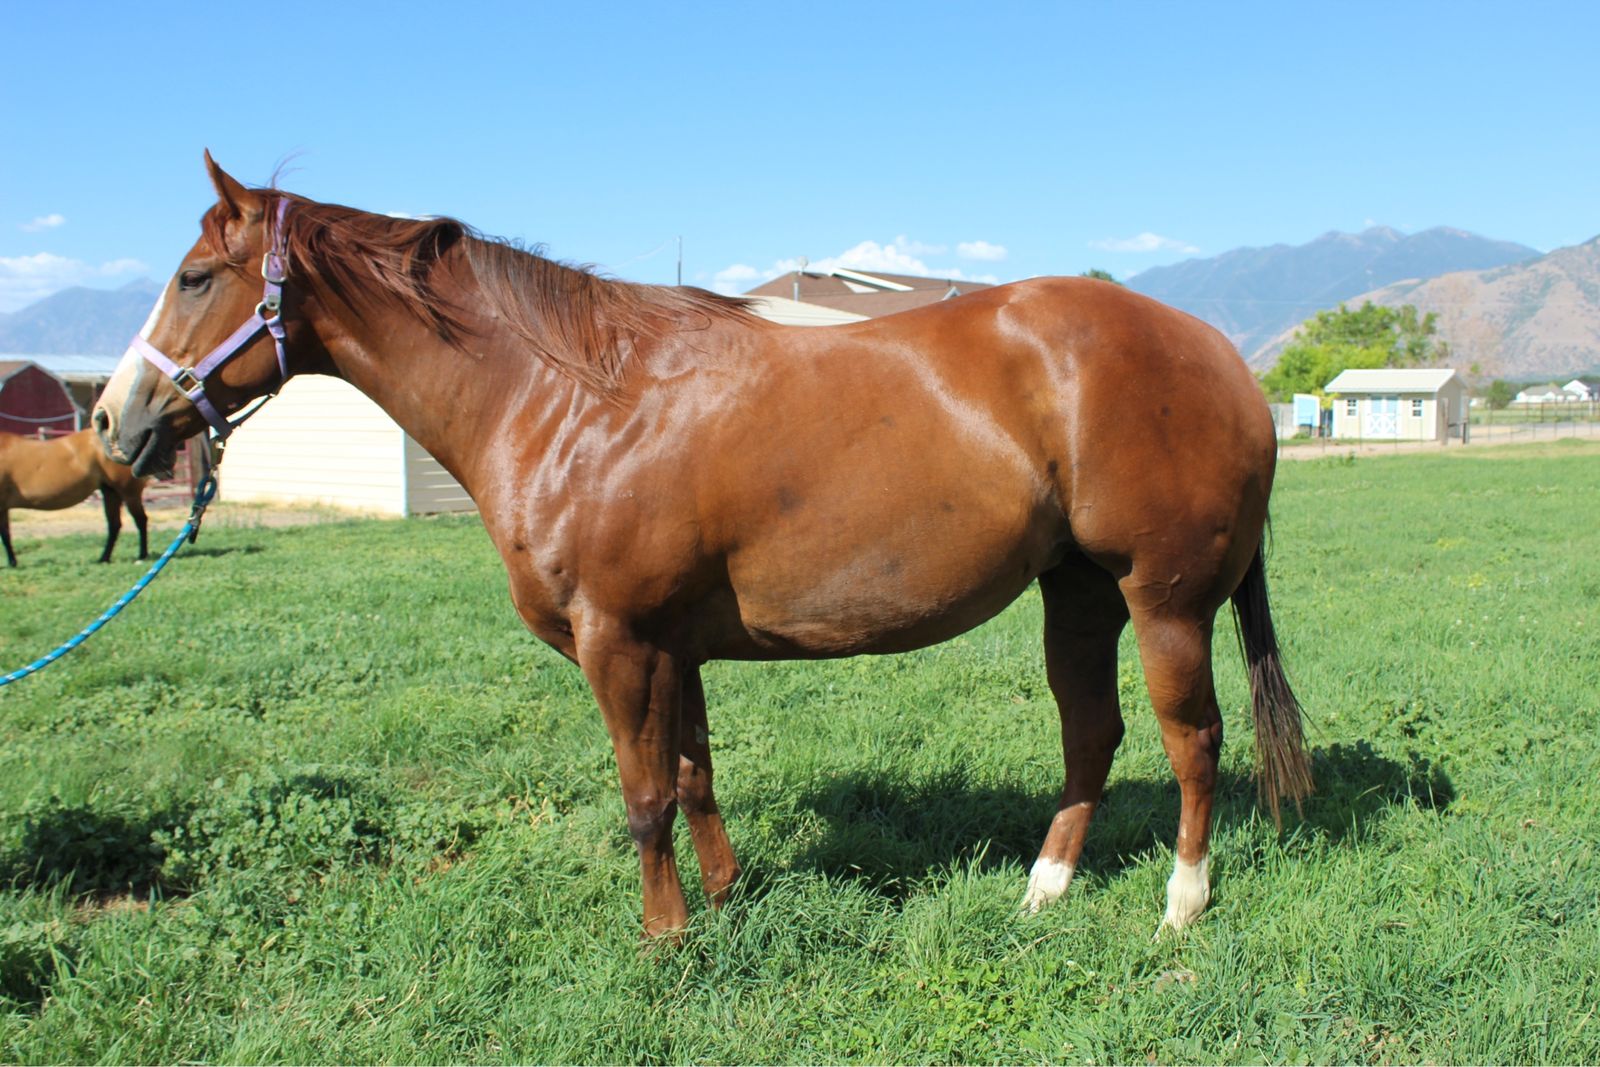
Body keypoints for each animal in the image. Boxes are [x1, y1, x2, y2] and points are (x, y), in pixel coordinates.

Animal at [0, 429, 150, 567]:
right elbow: (6, 534)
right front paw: (12, 562)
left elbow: (4, 535)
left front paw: (12, 563)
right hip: (111, 492)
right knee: (114, 525)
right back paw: (104, 558)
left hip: (129, 493)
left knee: (140, 520)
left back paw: (141, 556)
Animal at [94, 153, 1311, 937]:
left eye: (194, 278)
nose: (113, 421)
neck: (574, 398)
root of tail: (1220, 355)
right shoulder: (671, 645)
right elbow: (693, 773)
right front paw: (723, 902)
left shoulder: (617, 641)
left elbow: (643, 795)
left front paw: (665, 937)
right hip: (1077, 592)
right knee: (1091, 733)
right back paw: (1044, 889)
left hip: (1161, 599)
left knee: (1192, 741)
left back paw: (1182, 907)